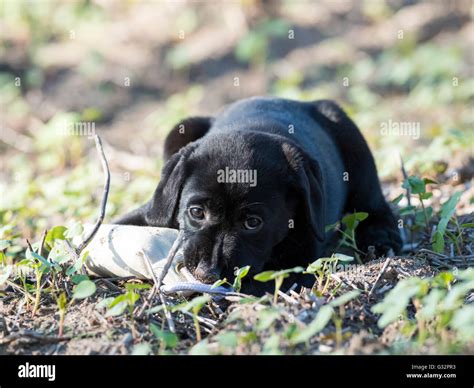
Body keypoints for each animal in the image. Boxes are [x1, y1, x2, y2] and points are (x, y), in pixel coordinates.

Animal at [115, 97, 400, 294]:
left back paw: (381, 236)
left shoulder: (298, 266)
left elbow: (256, 284)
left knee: (373, 202)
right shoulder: (150, 212)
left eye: (253, 223)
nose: (208, 274)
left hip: (352, 139)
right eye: (196, 212)